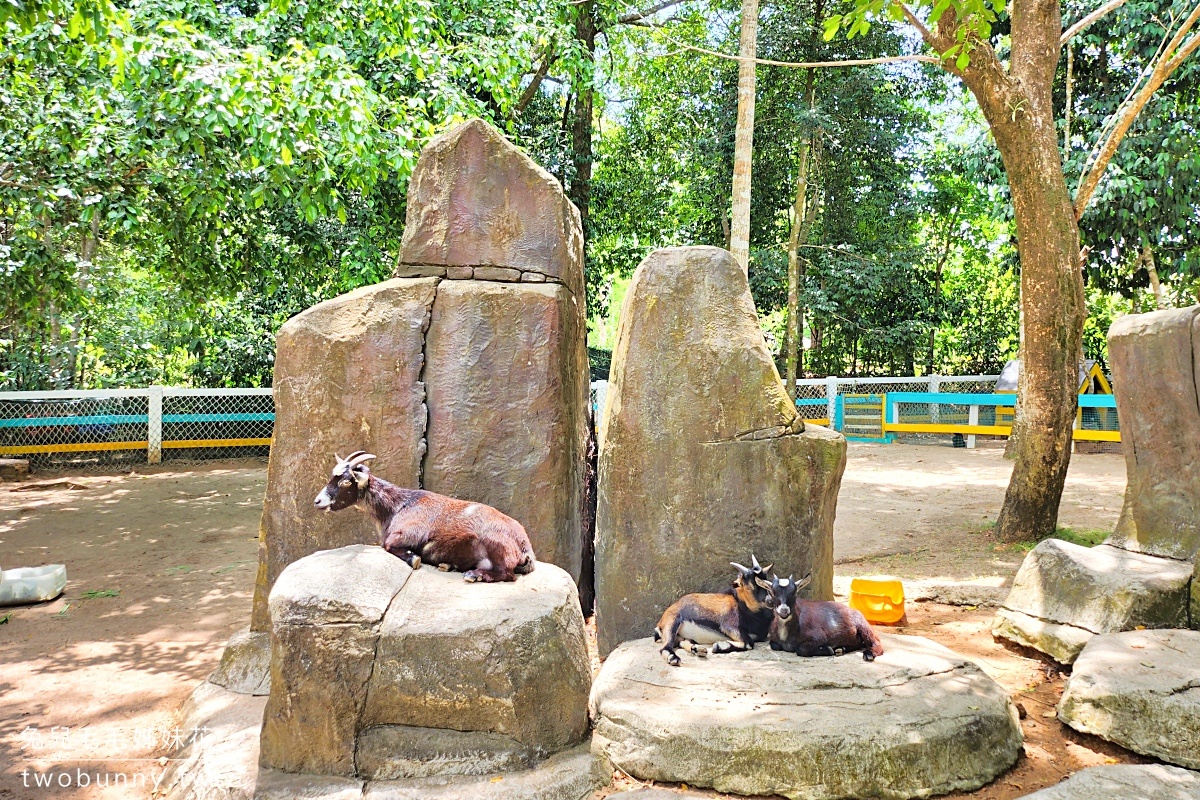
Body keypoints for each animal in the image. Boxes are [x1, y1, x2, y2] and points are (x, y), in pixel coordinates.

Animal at [314, 450, 535, 582]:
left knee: (507, 574)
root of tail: (525, 546)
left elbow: (388, 545)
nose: (318, 501)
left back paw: (473, 574)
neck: (398, 506)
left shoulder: (408, 532)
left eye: (345, 482)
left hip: (495, 544)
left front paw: (414, 558)